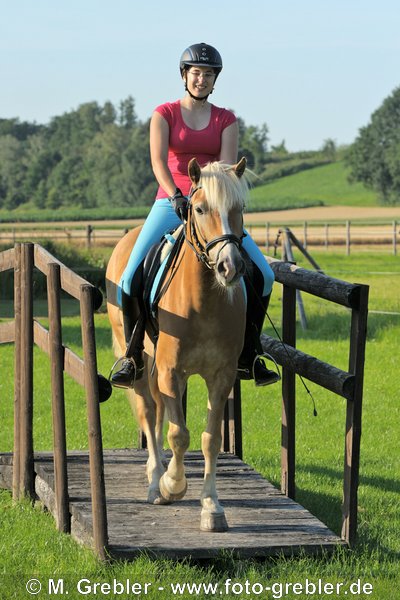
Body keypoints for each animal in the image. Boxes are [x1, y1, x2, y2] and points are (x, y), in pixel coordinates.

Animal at [108, 157, 248, 532]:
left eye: (240, 209)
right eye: (199, 208)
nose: (230, 267)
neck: (204, 300)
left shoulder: (220, 376)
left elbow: (209, 439)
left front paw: (212, 507)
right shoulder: (171, 370)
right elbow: (179, 434)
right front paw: (172, 484)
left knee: (159, 414)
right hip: (140, 361)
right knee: (148, 410)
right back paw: (155, 479)